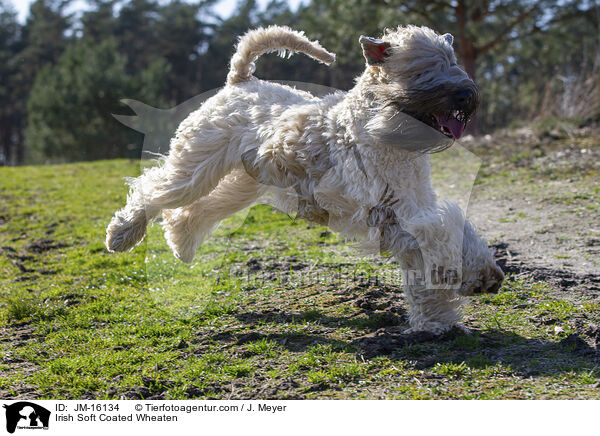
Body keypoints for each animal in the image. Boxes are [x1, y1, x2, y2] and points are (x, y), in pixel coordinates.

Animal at [105, 25, 504, 334]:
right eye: (423, 69)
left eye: (453, 61)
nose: (466, 95)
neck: (379, 129)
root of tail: (240, 81)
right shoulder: (386, 214)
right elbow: (438, 234)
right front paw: (460, 285)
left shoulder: (414, 203)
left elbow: (446, 235)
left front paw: (457, 298)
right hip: (196, 168)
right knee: (152, 188)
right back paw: (122, 234)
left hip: (241, 185)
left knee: (193, 210)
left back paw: (180, 242)